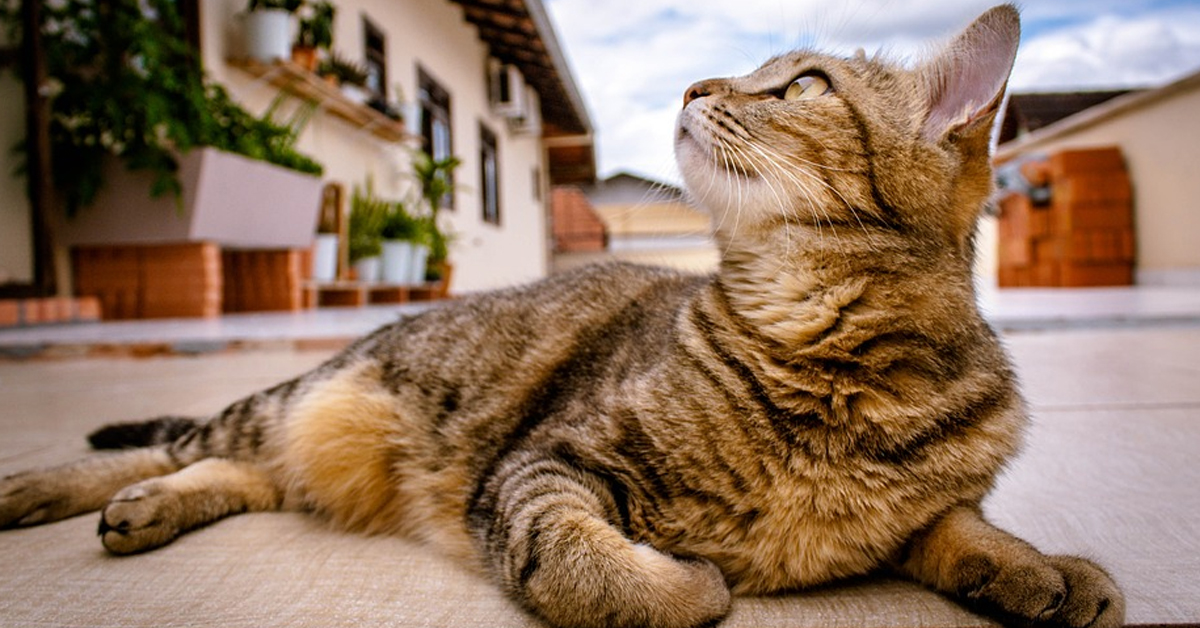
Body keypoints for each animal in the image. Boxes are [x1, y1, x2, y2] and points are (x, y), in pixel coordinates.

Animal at [0, 6, 1123, 628]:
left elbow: (962, 525)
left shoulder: (928, 511)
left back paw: (149, 508)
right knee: (175, 443)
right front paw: (691, 583)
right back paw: (51, 489)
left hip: (304, 444)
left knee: (247, 475)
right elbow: (584, 567)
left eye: (803, 85)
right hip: (304, 399)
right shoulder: (547, 463)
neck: (831, 361)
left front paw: (1048, 573)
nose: (693, 84)